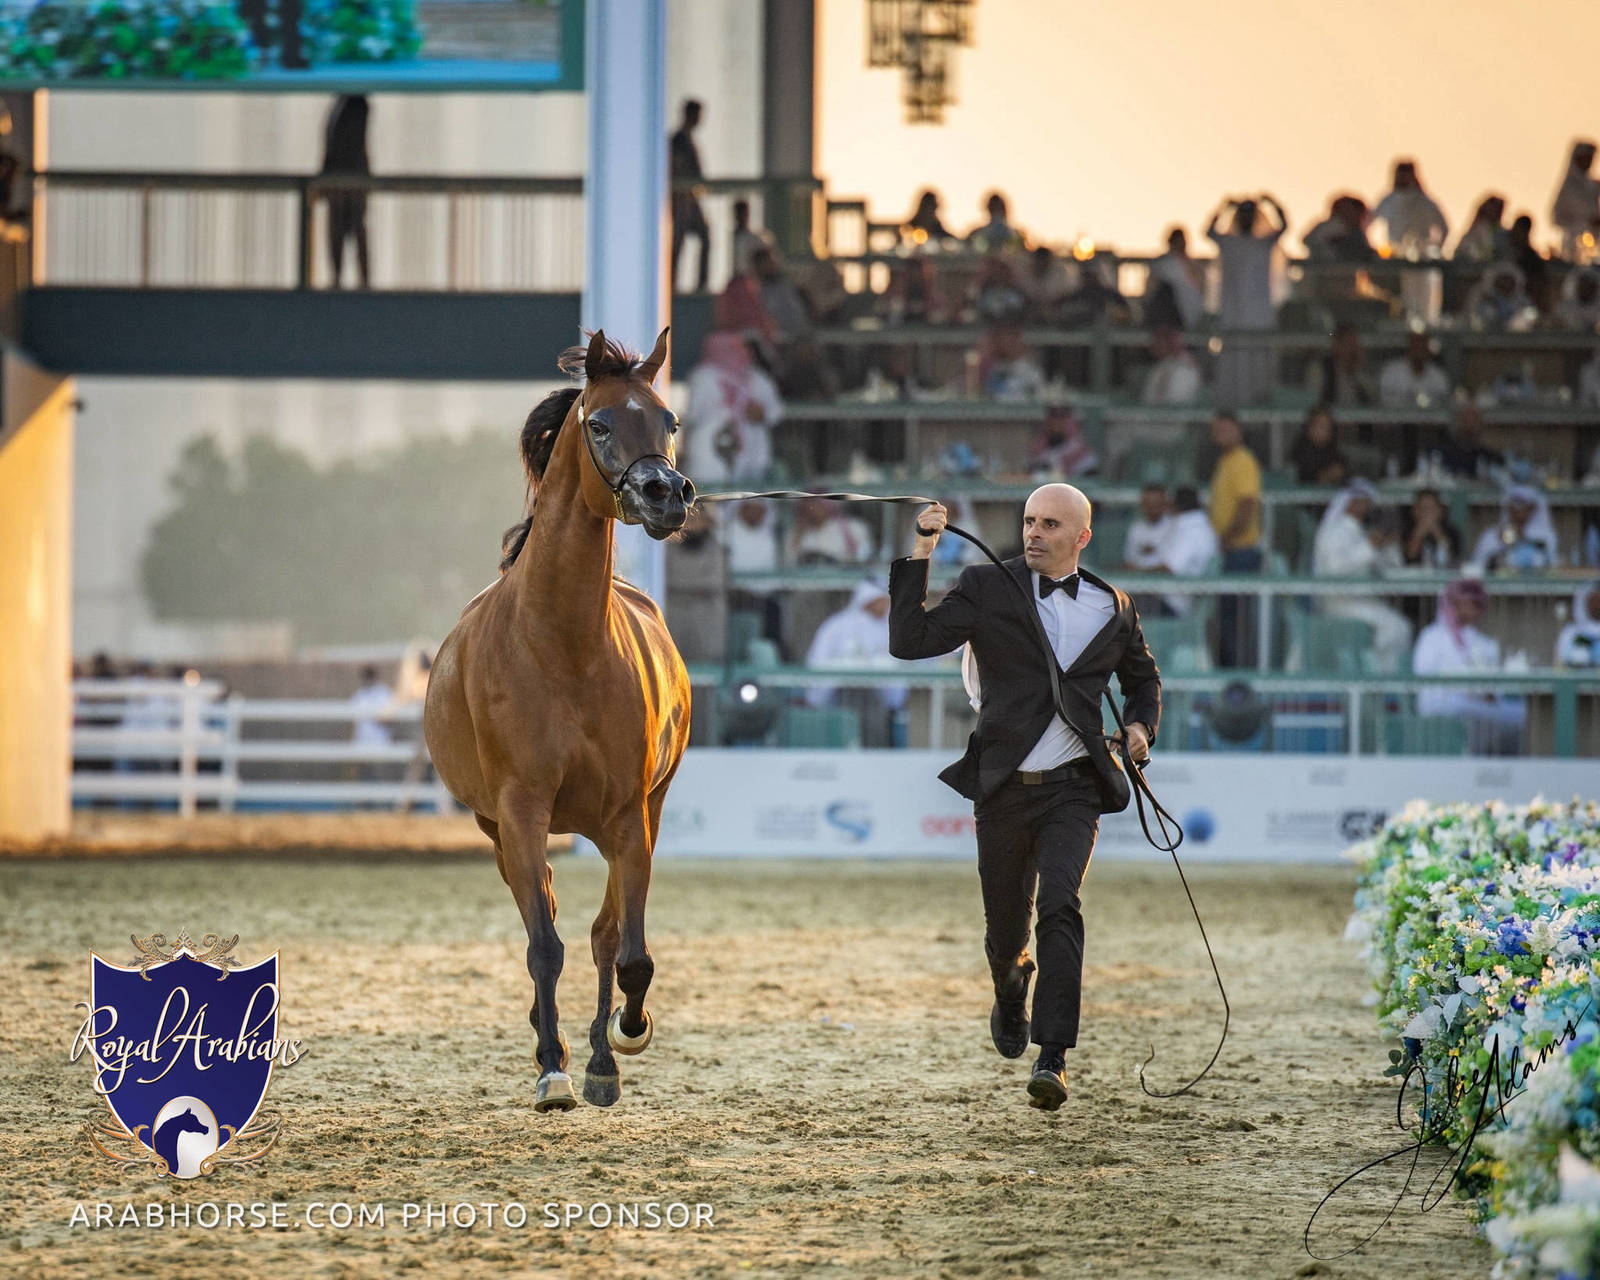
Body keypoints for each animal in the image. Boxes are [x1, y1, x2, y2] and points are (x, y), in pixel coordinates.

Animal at [423, 329, 694, 1113]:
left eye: (668, 419)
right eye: (599, 424)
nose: (666, 494)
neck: (563, 645)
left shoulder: (630, 817)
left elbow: (627, 952)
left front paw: (623, 1039)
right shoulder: (520, 810)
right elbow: (544, 943)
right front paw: (552, 1069)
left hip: (637, 816)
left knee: (606, 932)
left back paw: (602, 1052)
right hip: (501, 828)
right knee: (536, 906)